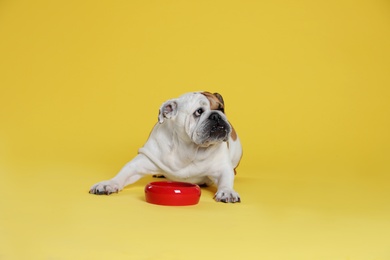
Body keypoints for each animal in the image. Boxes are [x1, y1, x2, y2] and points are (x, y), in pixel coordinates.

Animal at [90, 91, 242, 203]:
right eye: (198, 112)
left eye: (221, 108)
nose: (217, 116)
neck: (190, 148)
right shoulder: (142, 161)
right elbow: (123, 173)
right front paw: (108, 184)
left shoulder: (222, 168)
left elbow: (226, 179)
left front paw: (227, 192)